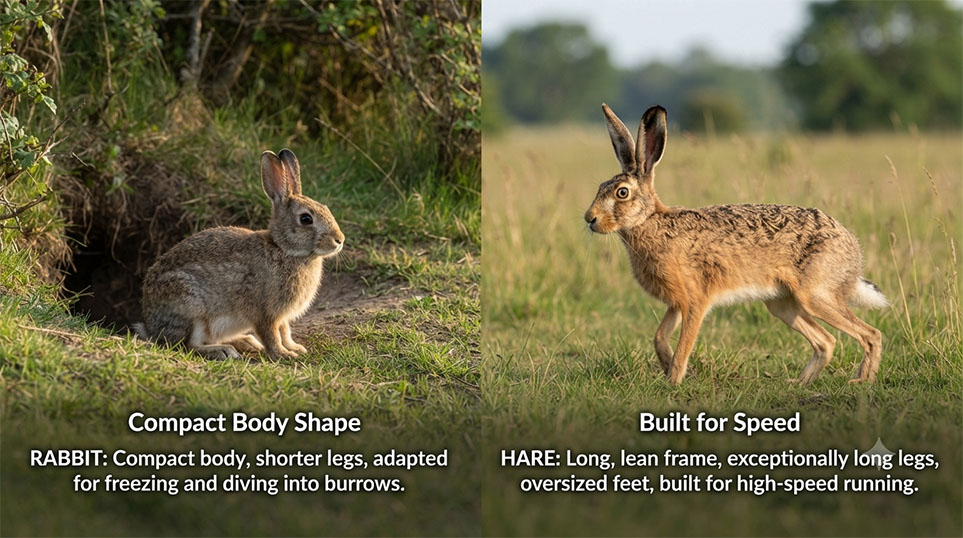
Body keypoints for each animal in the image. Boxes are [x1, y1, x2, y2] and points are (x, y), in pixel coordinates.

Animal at [134, 148, 345, 360]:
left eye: (326, 209)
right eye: (306, 219)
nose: (340, 239)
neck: (284, 249)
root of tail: (150, 326)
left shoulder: (281, 316)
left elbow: (285, 331)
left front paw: (295, 348)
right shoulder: (264, 312)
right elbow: (271, 335)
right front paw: (283, 354)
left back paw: (246, 341)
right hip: (190, 307)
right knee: (187, 345)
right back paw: (224, 350)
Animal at [584, 104, 888, 385]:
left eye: (622, 193)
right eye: (600, 187)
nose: (590, 219)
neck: (649, 221)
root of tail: (853, 252)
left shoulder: (695, 299)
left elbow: (684, 346)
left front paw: (674, 380)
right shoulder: (677, 302)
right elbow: (659, 336)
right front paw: (667, 365)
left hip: (814, 295)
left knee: (871, 334)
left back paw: (862, 381)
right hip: (782, 304)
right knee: (826, 341)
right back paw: (799, 383)